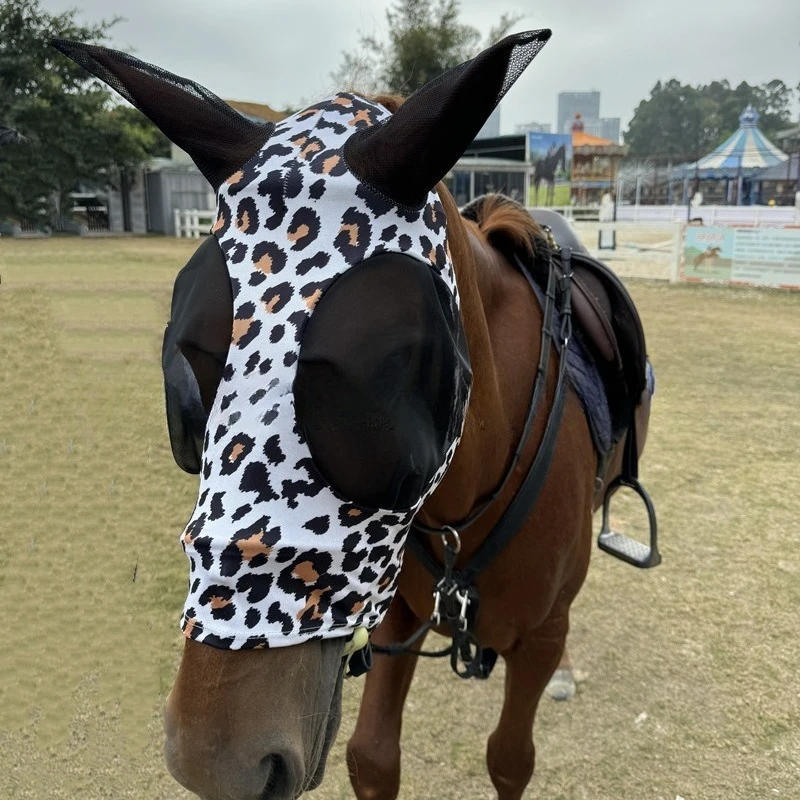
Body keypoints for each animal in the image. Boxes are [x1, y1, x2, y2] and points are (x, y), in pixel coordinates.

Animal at [54, 29, 656, 800]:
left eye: (374, 388)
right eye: (186, 390)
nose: (214, 759)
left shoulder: (537, 638)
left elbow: (509, 758)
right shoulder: (395, 615)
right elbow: (372, 757)